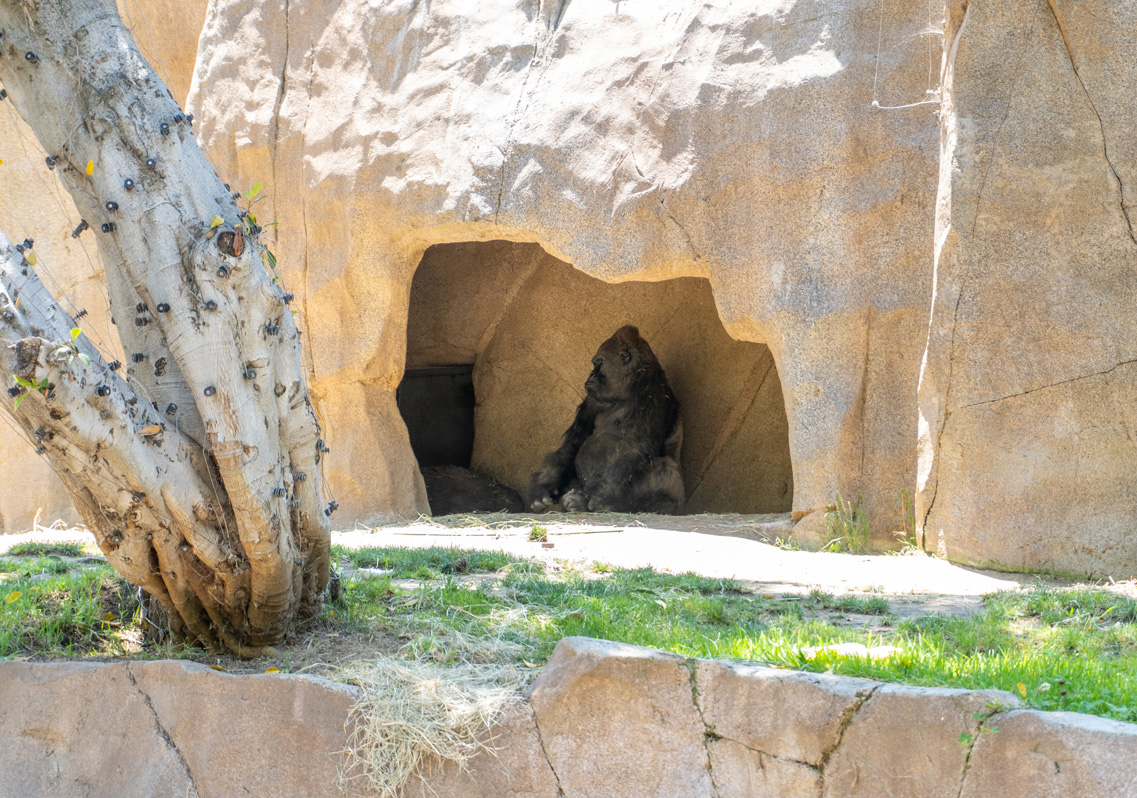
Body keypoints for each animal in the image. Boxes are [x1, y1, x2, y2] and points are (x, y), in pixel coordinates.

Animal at [528, 325, 684, 514]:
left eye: (600, 362)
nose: (591, 375)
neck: (630, 384)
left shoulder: (652, 385)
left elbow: (635, 445)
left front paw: (601, 497)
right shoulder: (594, 398)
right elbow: (575, 442)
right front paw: (545, 484)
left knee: (665, 467)